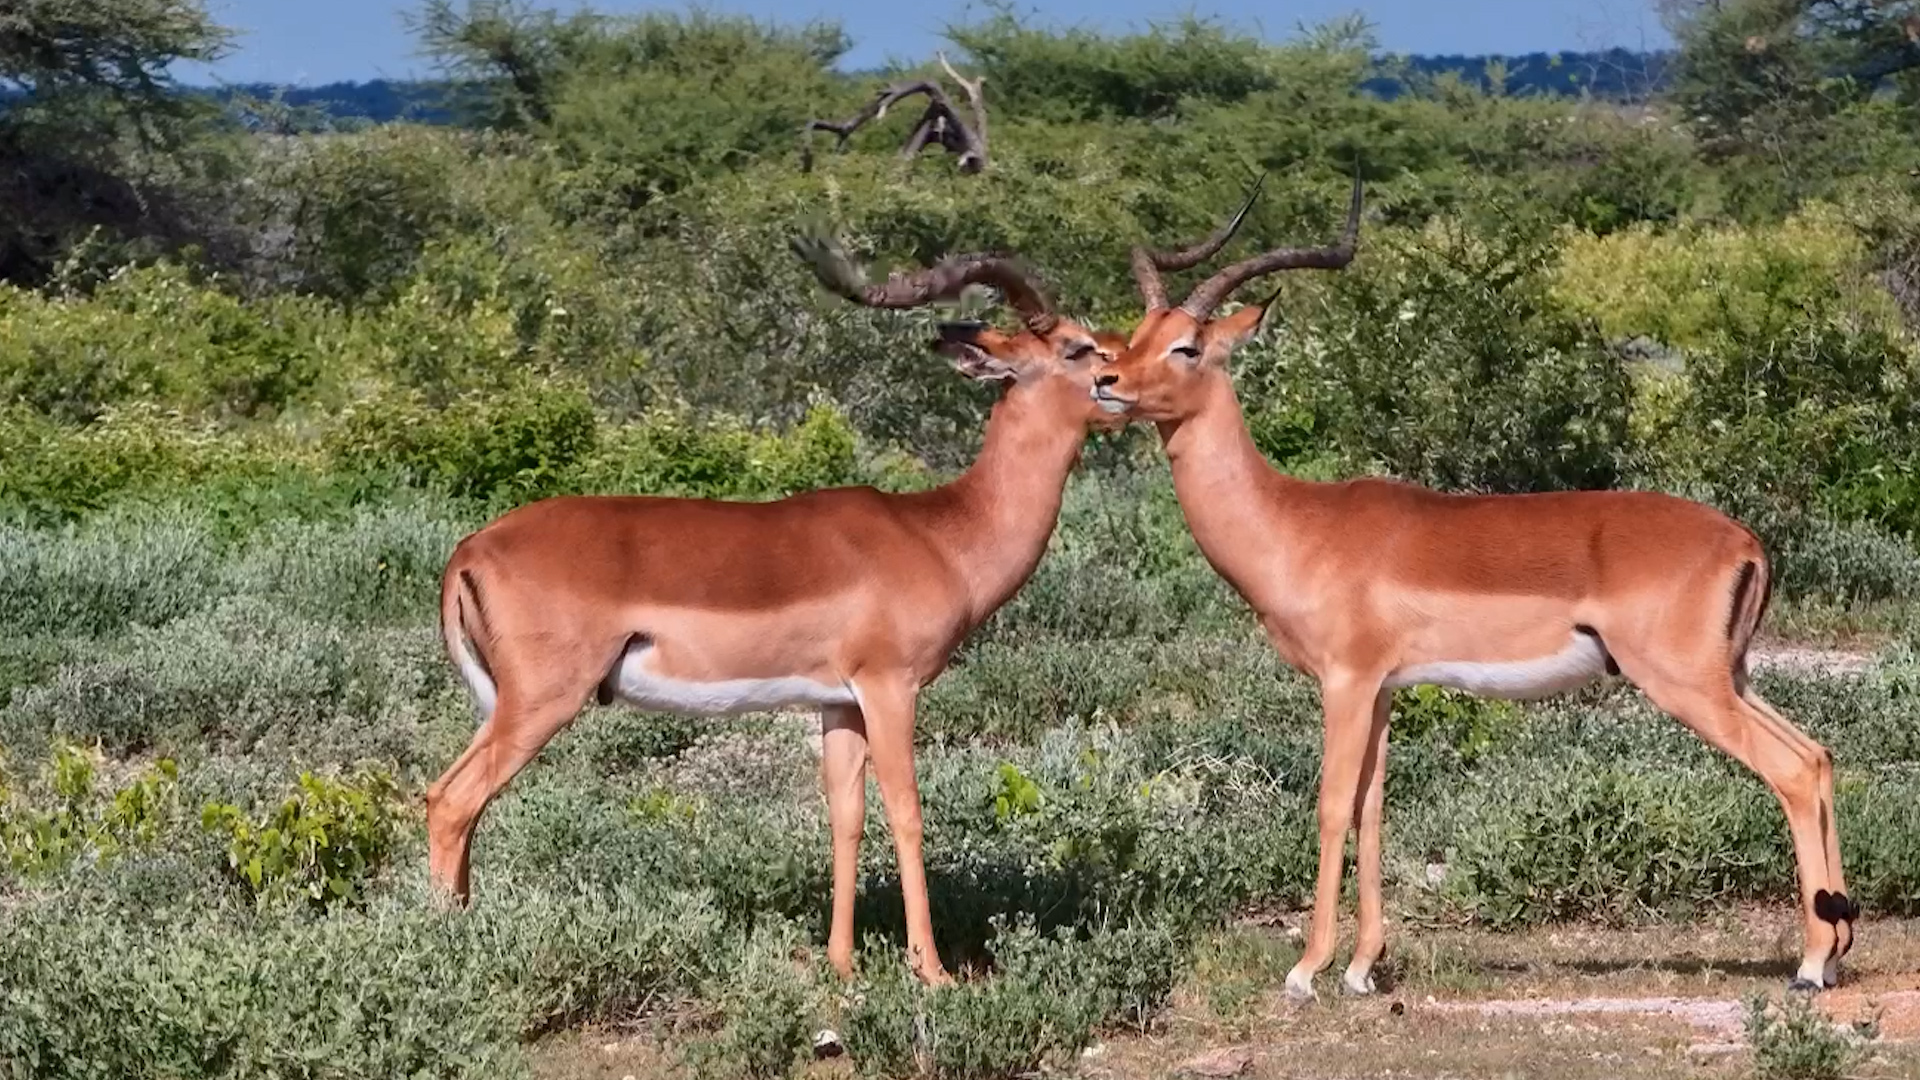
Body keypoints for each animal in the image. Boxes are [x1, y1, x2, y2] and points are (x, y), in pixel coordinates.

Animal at [426, 239, 1125, 984]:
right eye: (1079, 348)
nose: (1126, 383)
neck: (940, 532)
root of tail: (471, 548)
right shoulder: (890, 687)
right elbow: (907, 812)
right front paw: (932, 973)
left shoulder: (839, 703)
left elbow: (846, 816)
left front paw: (842, 964)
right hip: (543, 702)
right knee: (453, 803)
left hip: (506, 705)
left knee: (450, 801)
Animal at [1090, 175, 1855, 997]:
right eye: (1135, 332)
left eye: (1187, 345)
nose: (1106, 381)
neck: (1296, 524)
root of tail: (1746, 542)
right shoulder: (1385, 689)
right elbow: (1372, 809)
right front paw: (1362, 969)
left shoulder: (1345, 681)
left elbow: (1330, 806)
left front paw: (1307, 970)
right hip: (1730, 677)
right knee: (1816, 754)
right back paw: (1837, 942)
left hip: (1685, 683)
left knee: (1789, 769)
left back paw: (1810, 965)